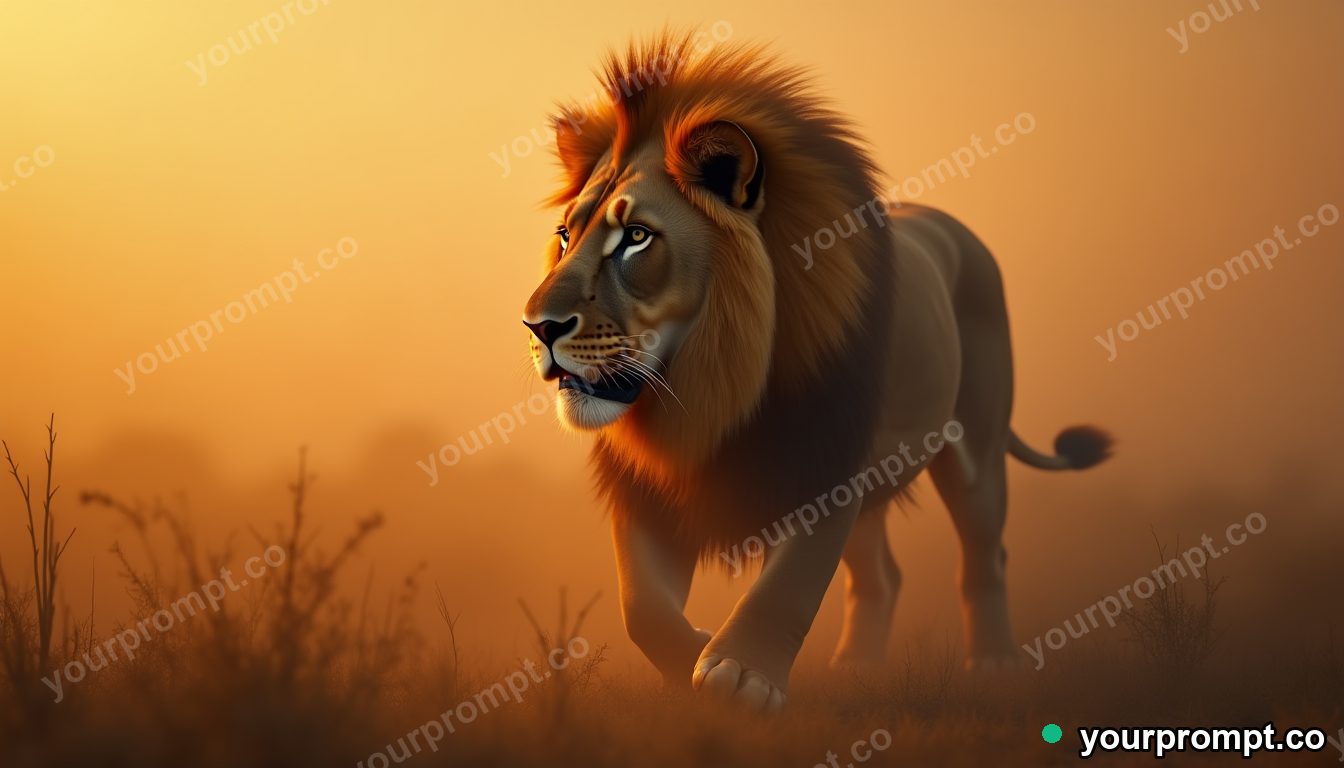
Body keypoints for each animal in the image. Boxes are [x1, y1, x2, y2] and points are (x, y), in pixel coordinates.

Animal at [522, 33, 1111, 711]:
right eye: (565, 236)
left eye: (637, 237)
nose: (537, 327)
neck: (708, 390)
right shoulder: (645, 485)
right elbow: (639, 607)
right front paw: (691, 652)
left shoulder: (827, 464)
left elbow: (792, 583)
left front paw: (740, 675)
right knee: (882, 575)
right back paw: (857, 669)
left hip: (976, 451)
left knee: (985, 554)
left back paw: (994, 665)